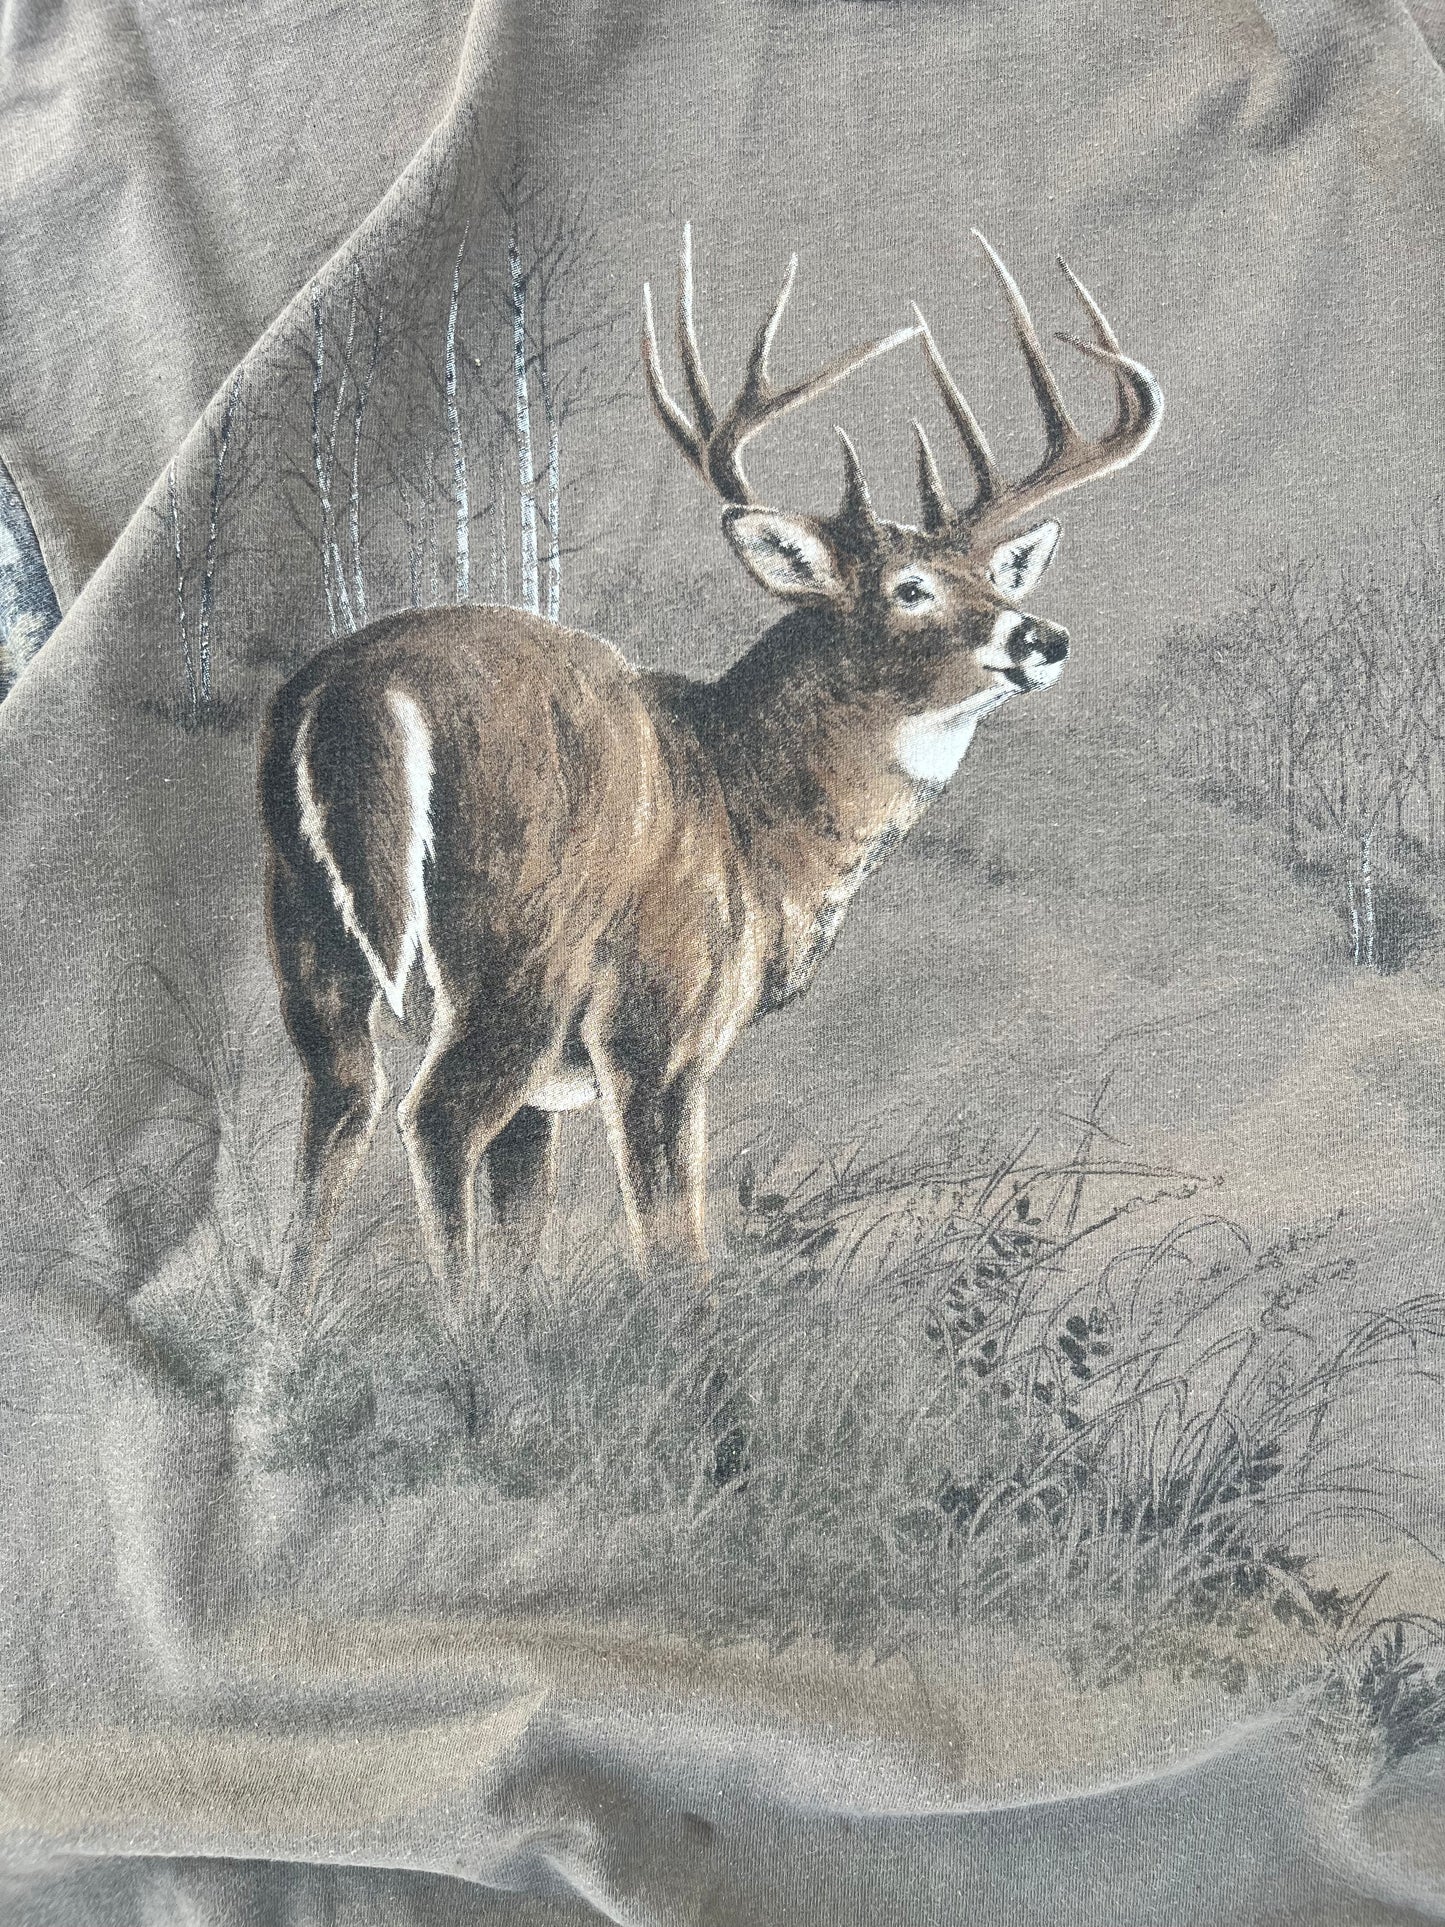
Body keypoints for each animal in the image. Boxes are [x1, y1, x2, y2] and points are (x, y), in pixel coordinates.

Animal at [257, 226, 1162, 1297]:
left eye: (994, 575)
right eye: (909, 587)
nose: (1044, 637)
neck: (753, 821)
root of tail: (354, 693)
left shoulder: (551, 1093)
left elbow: (525, 1236)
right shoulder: (659, 1026)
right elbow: (672, 1247)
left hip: (308, 933)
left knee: (337, 1113)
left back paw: (286, 1337)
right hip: (516, 950)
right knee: (433, 1117)